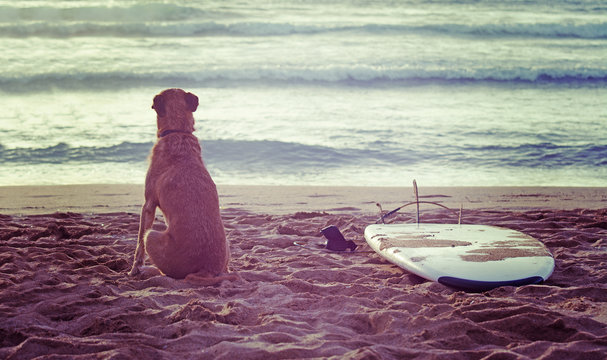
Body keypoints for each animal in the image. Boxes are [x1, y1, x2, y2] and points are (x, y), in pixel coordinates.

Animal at [127, 88, 234, 284]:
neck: (178, 131)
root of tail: (207, 269)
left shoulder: (148, 204)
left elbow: (138, 245)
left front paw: (134, 269)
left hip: (152, 236)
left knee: (165, 270)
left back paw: (149, 270)